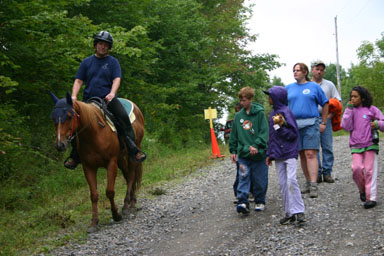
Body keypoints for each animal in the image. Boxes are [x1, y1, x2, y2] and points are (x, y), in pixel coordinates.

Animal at [50, 91, 145, 232]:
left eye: (69, 116)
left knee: (132, 175)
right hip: (121, 159)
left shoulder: (111, 163)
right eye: (53, 117)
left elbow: (109, 191)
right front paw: (94, 222)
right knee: (128, 176)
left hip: (132, 154)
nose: (60, 144)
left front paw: (116, 214)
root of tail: (135, 106)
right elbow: (93, 195)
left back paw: (128, 206)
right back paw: (130, 202)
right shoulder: (88, 167)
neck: (94, 133)